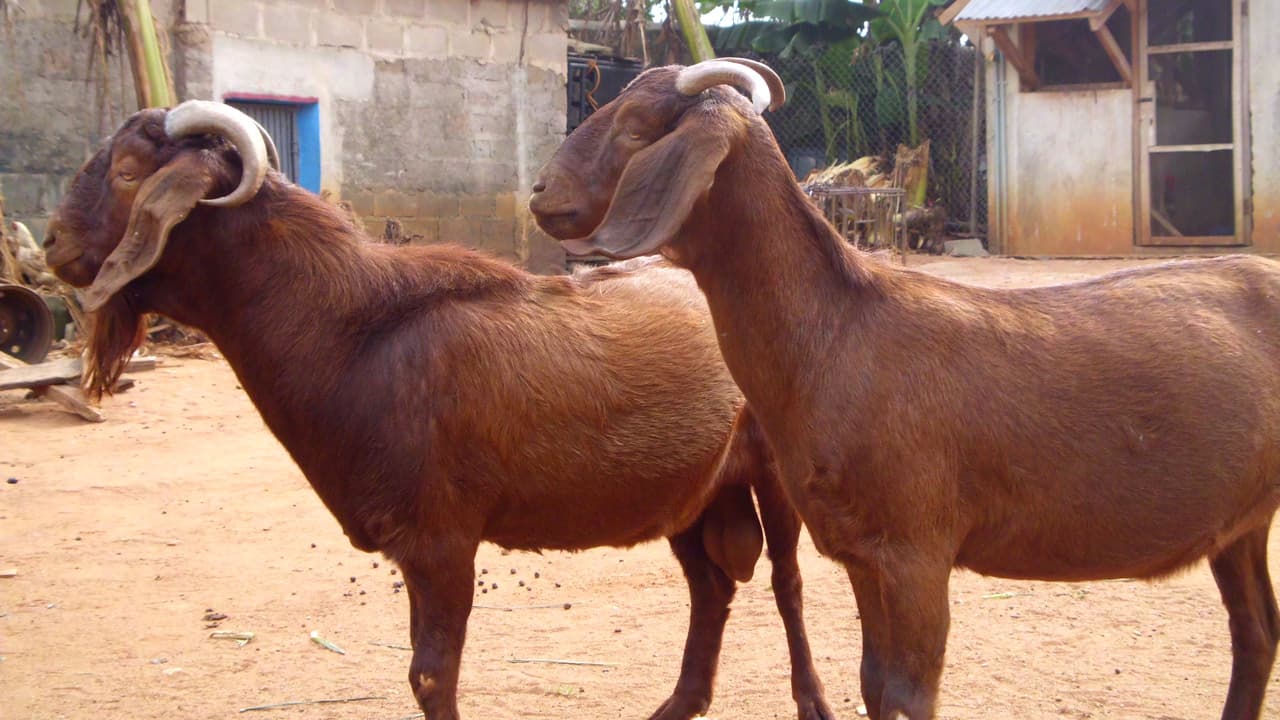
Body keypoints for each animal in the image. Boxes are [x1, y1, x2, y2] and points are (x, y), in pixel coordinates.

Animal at [42, 101, 836, 720]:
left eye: (126, 172)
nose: (53, 244)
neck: (351, 331)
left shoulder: (440, 537)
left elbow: (431, 674)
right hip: (689, 494)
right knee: (711, 588)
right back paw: (679, 703)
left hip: (773, 471)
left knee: (788, 585)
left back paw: (811, 702)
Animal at [529, 59, 1280, 720]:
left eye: (634, 127)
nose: (539, 192)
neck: (840, 335)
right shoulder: (863, 552)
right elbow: (873, 683)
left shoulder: (920, 552)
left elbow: (911, 694)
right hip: (1242, 523)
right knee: (1256, 630)